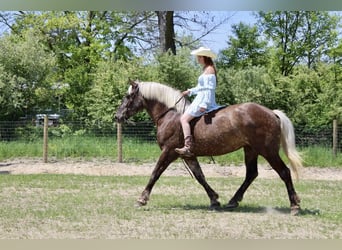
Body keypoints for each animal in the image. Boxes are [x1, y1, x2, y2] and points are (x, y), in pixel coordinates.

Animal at [115, 80, 302, 215]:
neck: (170, 115)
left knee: (284, 172)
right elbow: (200, 176)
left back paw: (294, 205)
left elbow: (155, 173)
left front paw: (142, 199)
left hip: (268, 151)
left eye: (127, 96)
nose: (117, 116)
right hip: (250, 150)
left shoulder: (168, 152)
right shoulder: (188, 155)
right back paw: (233, 201)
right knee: (251, 174)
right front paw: (214, 200)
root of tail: (272, 113)